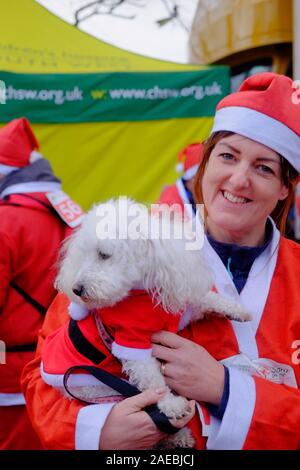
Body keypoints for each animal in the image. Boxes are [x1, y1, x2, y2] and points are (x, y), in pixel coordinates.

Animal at [55, 197, 250, 448]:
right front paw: (172, 405)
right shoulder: (131, 341)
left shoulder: (180, 311)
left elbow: (205, 299)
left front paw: (237, 310)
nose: (76, 290)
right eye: (83, 255)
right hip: (97, 389)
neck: (141, 292)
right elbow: (153, 380)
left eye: (103, 255)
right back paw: (177, 435)